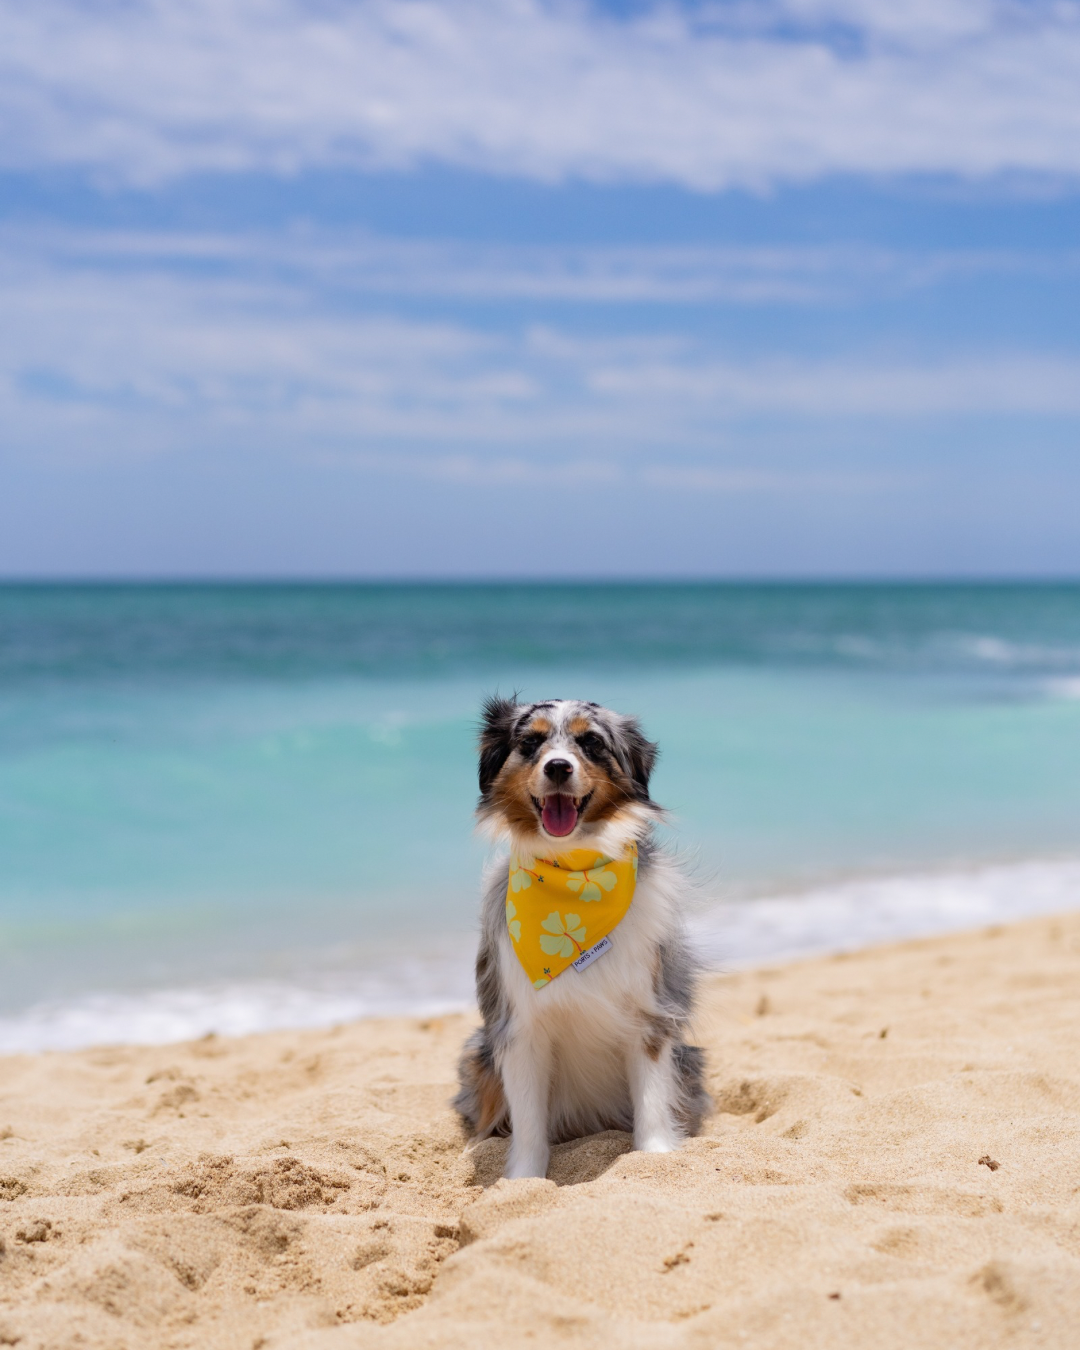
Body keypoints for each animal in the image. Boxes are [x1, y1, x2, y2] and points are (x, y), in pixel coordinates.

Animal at [453, 696, 707, 1182]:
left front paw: (655, 1158)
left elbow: (652, 1098)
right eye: (530, 742)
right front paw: (522, 1182)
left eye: (590, 742)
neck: (573, 873)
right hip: (479, 1054)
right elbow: (528, 1121)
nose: (557, 767)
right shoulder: (520, 1026)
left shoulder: (649, 1012)